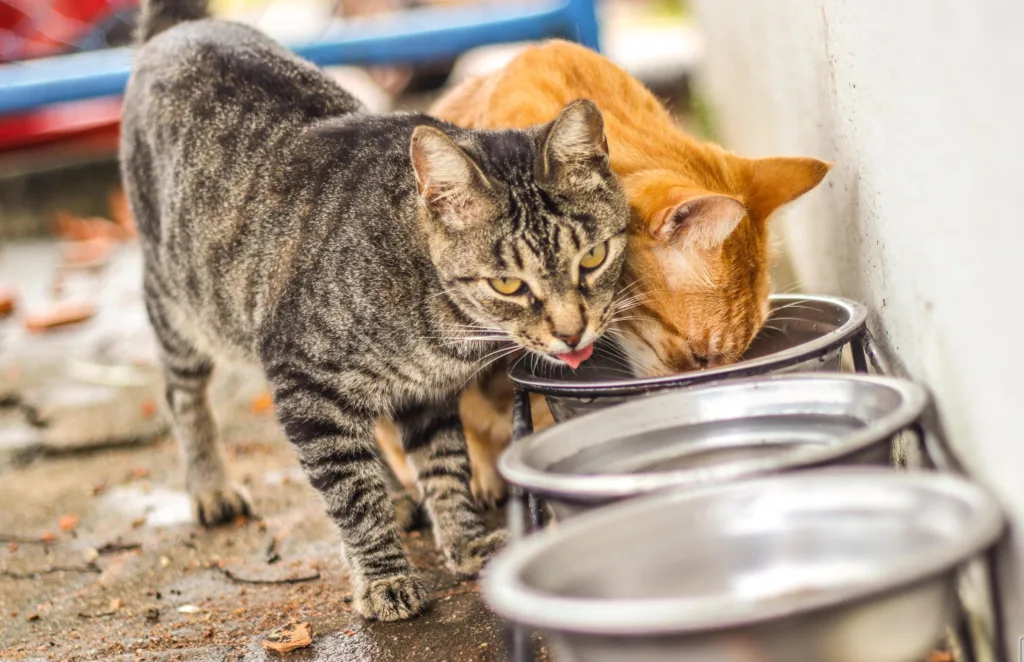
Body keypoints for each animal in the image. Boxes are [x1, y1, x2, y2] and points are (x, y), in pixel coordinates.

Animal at [122, 1, 626, 623]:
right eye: (508, 284)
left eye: (594, 257)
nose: (572, 332)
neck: (444, 328)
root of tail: (185, 27)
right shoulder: (302, 378)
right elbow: (351, 494)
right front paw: (384, 576)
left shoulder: (426, 395)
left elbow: (445, 465)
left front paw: (462, 539)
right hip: (180, 306)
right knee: (183, 394)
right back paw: (211, 485)